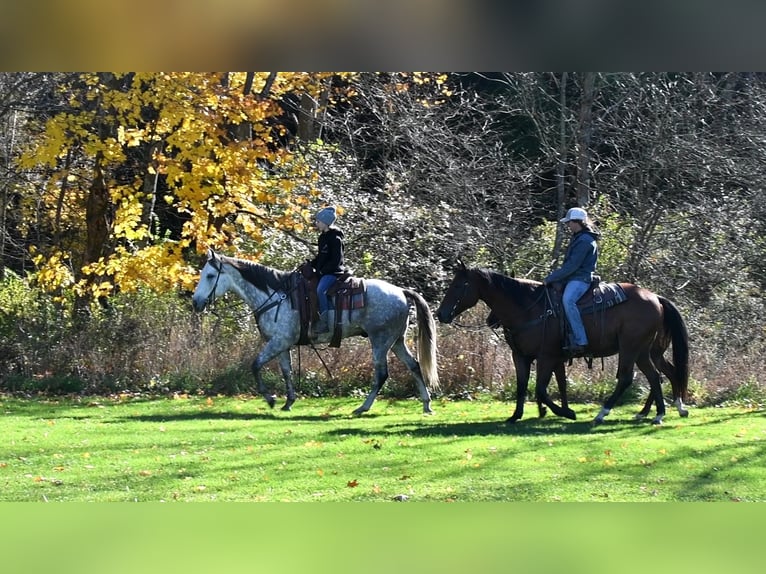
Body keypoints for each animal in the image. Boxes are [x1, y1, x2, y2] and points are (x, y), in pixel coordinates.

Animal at [192, 250, 440, 416]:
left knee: (381, 374)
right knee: (414, 366)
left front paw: (270, 399)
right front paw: (288, 402)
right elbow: (287, 372)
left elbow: (255, 365)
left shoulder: (278, 342)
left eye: (210, 276)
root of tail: (402, 291)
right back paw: (426, 404)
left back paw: (362, 407)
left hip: (380, 341)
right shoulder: (282, 344)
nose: (196, 302)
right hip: (396, 341)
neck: (276, 295)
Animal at [436, 264, 692, 426]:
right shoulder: (521, 356)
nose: (441, 314)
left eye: (458, 286)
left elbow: (541, 389)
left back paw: (603, 413)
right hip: (643, 351)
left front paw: (565, 412)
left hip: (630, 348)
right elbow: (523, 386)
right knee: (657, 375)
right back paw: (658, 414)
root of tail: (655, 298)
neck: (529, 308)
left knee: (629, 378)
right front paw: (516, 416)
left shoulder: (547, 357)